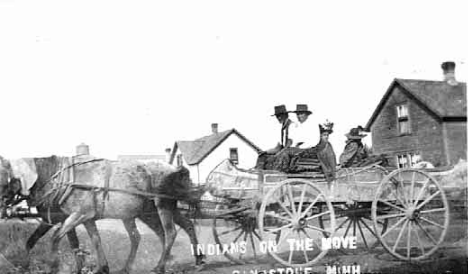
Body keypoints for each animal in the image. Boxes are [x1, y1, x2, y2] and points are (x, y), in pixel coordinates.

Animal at [0, 156, 205, 274]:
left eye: (4, 177)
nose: (3, 208)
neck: (60, 178)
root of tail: (175, 168)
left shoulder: (79, 214)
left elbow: (56, 238)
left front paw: (53, 266)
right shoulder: (77, 218)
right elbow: (87, 241)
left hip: (163, 205)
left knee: (170, 233)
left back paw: (160, 266)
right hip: (149, 212)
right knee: (182, 226)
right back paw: (196, 259)